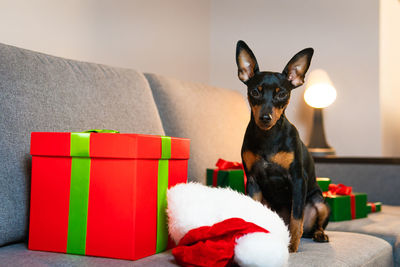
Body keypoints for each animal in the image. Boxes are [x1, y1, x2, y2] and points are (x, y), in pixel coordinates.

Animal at [238, 40, 328, 253]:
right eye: (255, 92)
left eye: (282, 94)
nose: (265, 117)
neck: (268, 137)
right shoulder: (252, 181)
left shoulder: (298, 180)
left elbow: (296, 217)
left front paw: (292, 246)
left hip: (320, 202)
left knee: (314, 224)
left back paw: (319, 234)